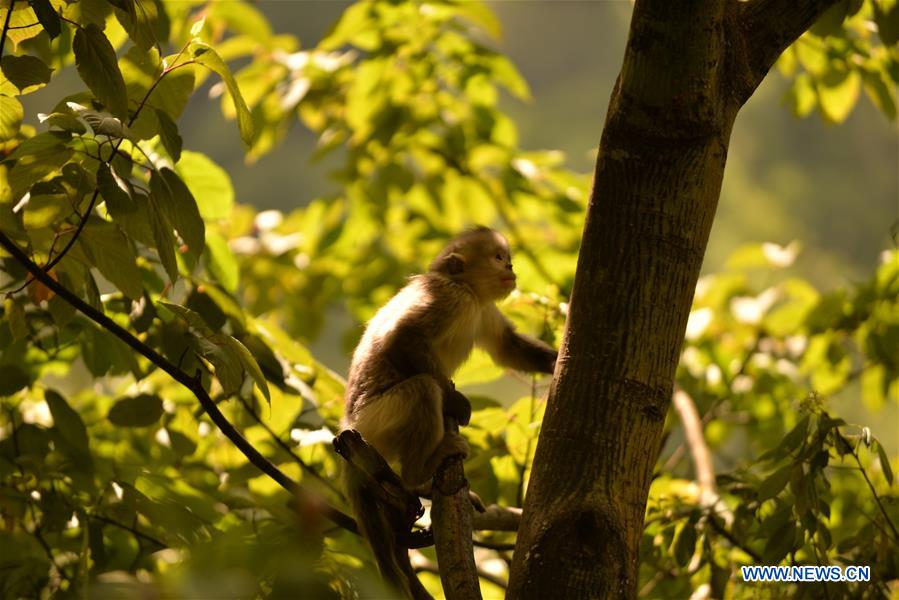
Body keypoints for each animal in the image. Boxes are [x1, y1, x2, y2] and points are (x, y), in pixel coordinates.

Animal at [342, 227, 560, 596]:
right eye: (498, 257)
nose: (511, 266)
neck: (468, 291)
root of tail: (345, 425)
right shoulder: (449, 297)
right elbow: (401, 337)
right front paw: (456, 402)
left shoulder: (484, 309)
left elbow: (508, 347)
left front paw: (558, 361)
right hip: (376, 418)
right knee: (423, 389)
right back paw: (419, 471)